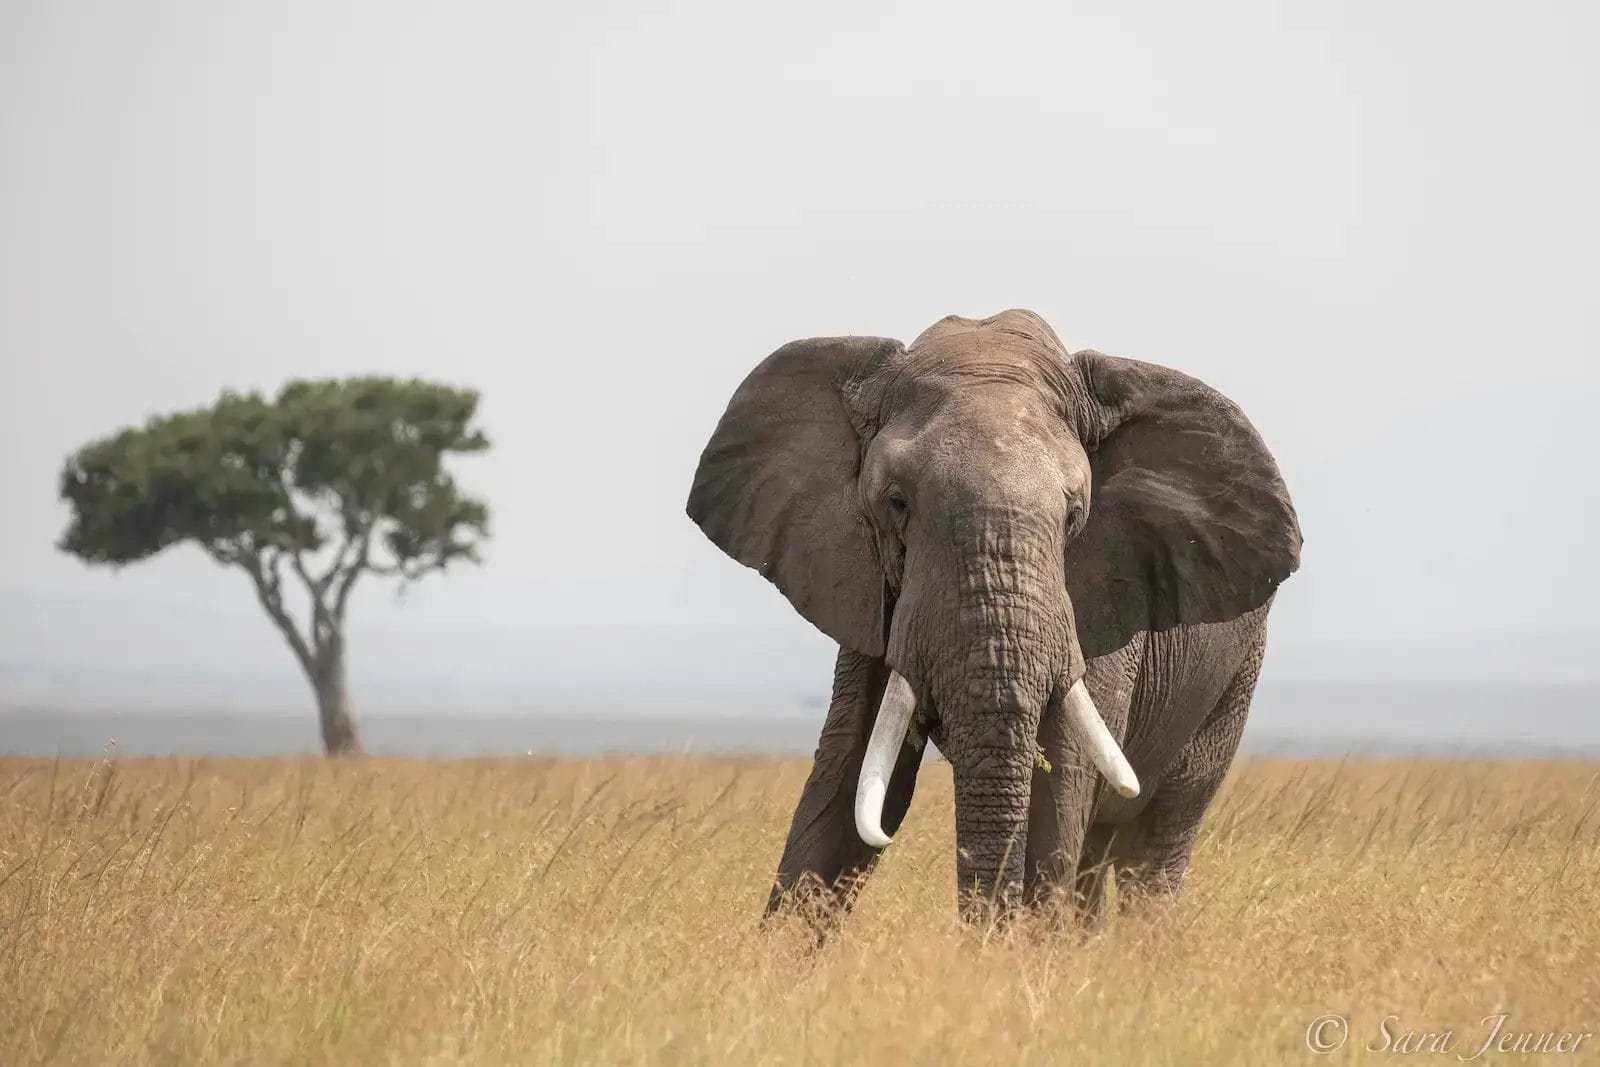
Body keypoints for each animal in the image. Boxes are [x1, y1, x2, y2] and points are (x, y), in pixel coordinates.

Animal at [686, 309, 1301, 924]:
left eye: (1074, 515)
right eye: (896, 503)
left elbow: (1060, 787)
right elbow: (847, 774)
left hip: (1235, 676)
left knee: (1157, 838)